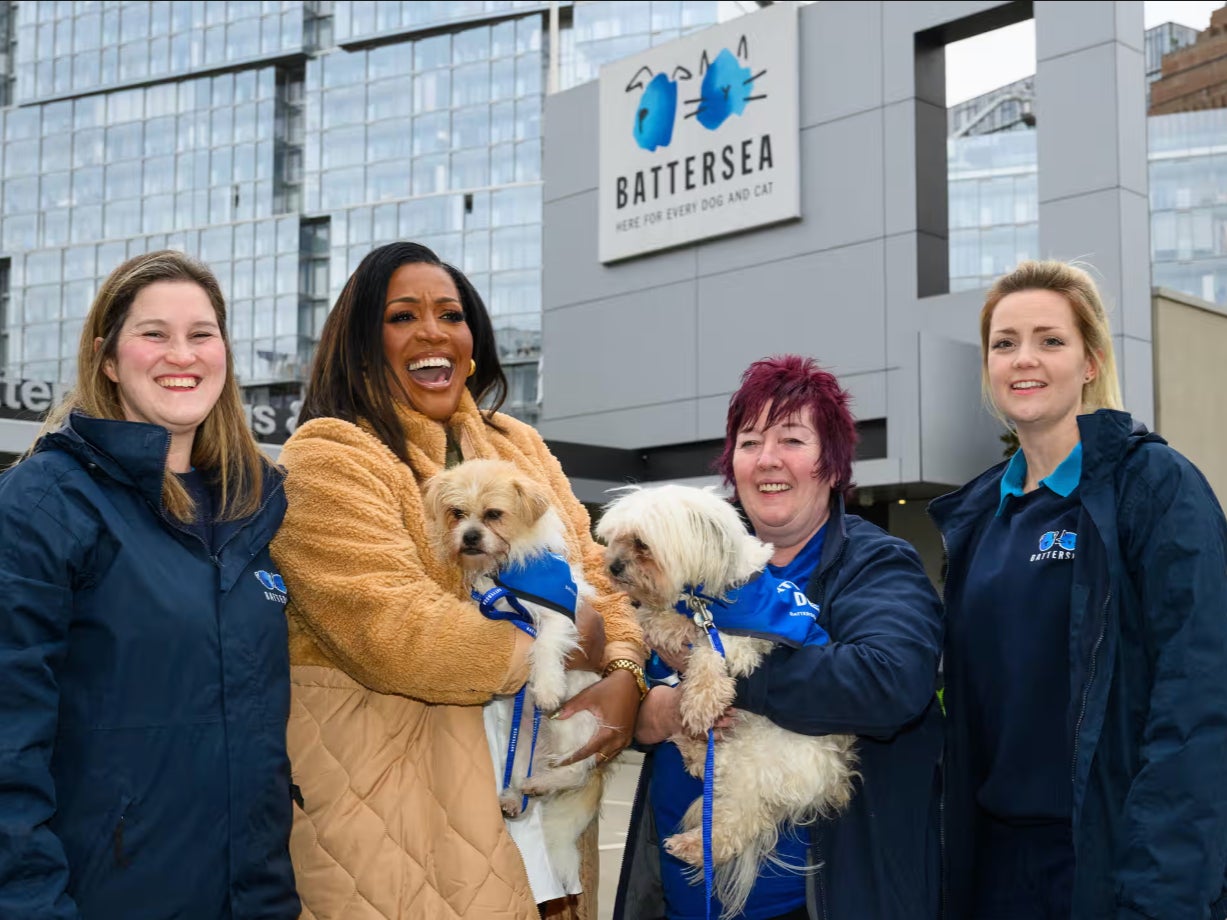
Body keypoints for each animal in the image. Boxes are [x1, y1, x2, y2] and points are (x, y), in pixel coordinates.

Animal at [424, 461, 606, 893]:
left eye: (493, 514)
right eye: (458, 513)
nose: (470, 537)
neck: (507, 575)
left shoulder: (558, 617)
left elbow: (545, 647)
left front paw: (547, 687)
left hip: (575, 725)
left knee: (573, 770)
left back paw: (543, 781)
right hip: (521, 739)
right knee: (526, 770)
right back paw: (513, 794)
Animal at [593, 485, 853, 917]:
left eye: (641, 543)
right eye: (614, 539)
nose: (611, 566)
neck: (708, 592)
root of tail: (829, 779)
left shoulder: (742, 639)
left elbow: (707, 649)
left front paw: (700, 699)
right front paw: (653, 621)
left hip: (752, 764)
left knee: (739, 822)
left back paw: (693, 845)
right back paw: (692, 749)